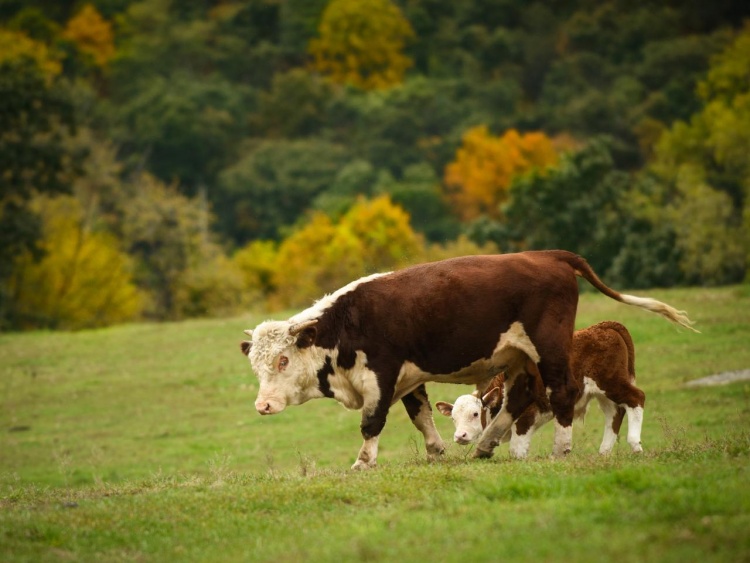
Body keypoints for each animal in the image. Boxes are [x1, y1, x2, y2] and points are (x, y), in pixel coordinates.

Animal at [438, 322, 648, 458]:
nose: (460, 436)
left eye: (475, 414)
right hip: (602, 392)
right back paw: (604, 452)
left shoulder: (525, 418)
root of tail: (604, 326)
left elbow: (516, 451)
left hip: (611, 383)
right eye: (453, 418)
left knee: (636, 398)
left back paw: (635, 444)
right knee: (615, 414)